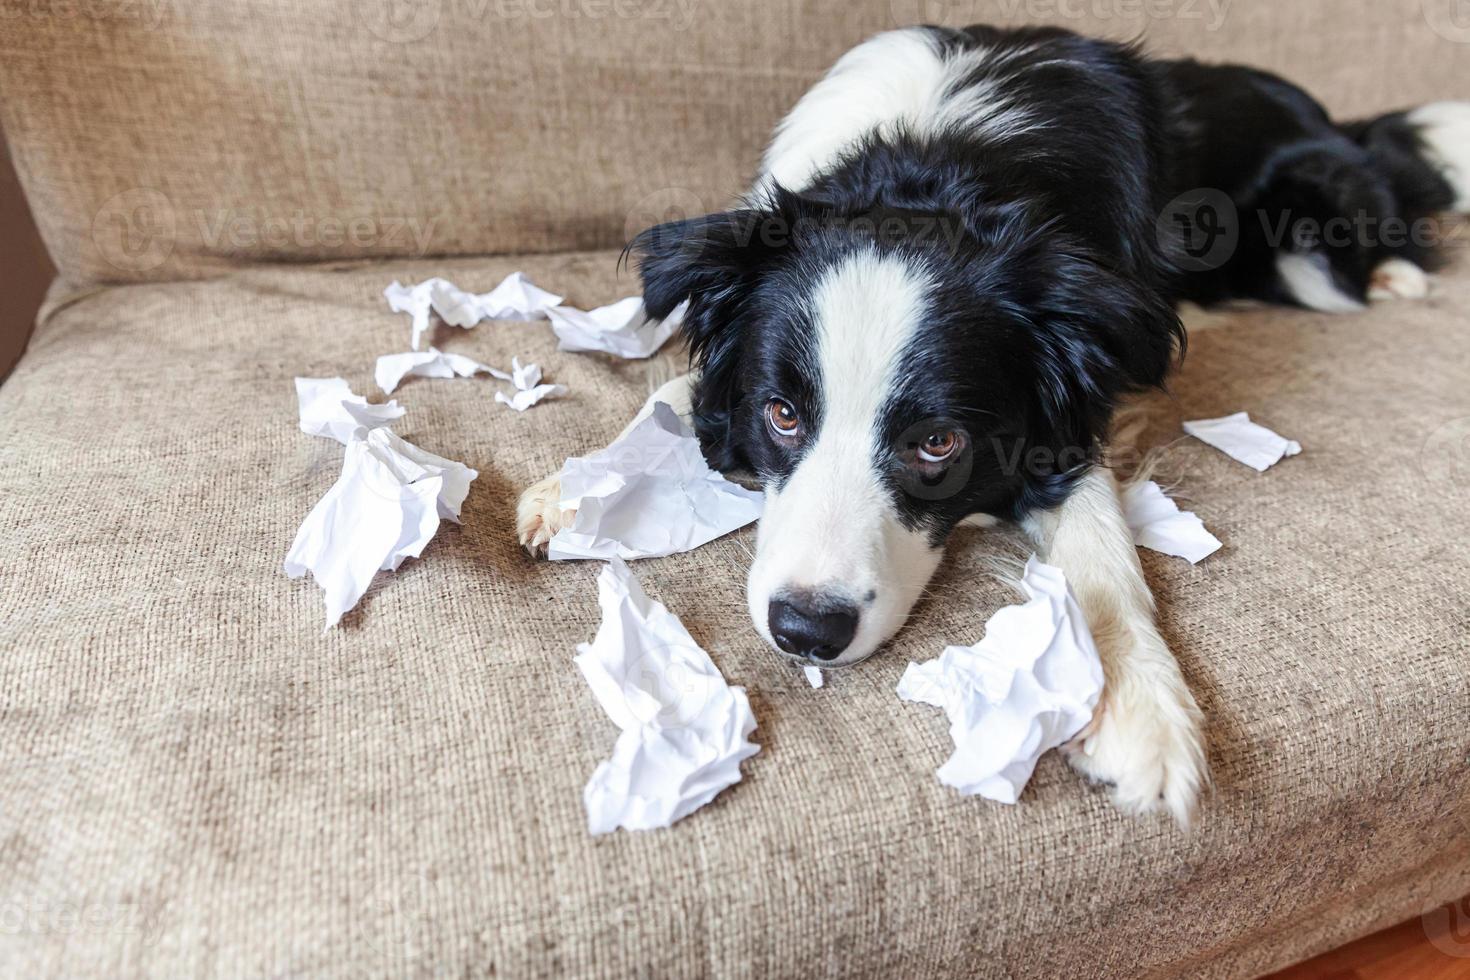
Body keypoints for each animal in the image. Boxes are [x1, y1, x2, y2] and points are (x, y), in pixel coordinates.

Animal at [520, 22, 1470, 822]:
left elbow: (1102, 550)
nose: (806, 632)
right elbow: (674, 395)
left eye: (938, 443)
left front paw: (1142, 713)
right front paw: (577, 490)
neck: (936, 163)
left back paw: (1396, 275)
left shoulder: (1071, 408)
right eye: (783, 414)